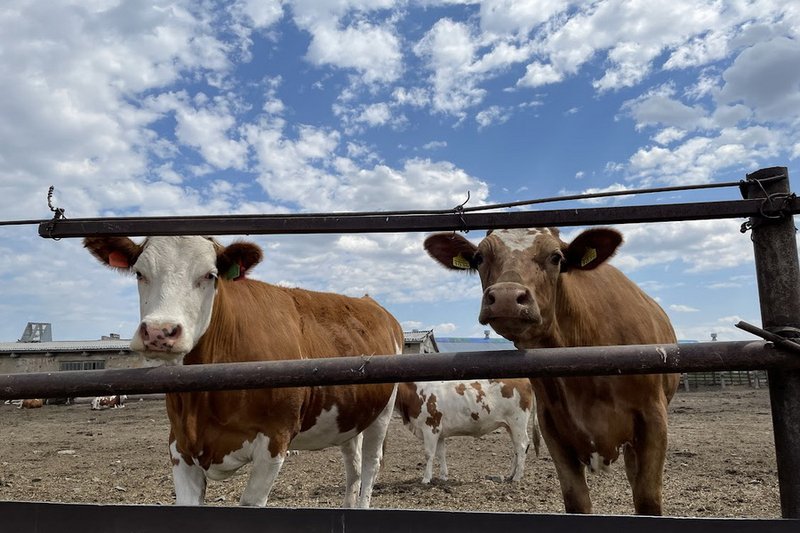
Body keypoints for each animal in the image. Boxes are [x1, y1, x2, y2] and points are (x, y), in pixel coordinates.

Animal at [84, 236, 404, 508]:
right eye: (140, 273)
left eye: (209, 275)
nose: (160, 331)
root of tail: (370, 302)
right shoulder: (180, 445)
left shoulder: (275, 441)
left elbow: (250, 503)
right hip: (348, 415)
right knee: (352, 464)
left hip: (383, 410)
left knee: (370, 463)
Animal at [396, 376, 540, 484]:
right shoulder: (439, 432)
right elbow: (441, 453)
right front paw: (443, 476)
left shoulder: (430, 427)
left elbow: (429, 454)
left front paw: (426, 478)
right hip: (511, 426)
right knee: (516, 448)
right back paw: (511, 474)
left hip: (518, 422)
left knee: (522, 446)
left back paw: (517, 477)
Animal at [422, 227, 680, 512]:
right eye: (479, 258)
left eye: (556, 257)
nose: (506, 297)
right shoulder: (553, 427)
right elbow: (576, 499)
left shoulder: (653, 419)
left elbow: (647, 498)